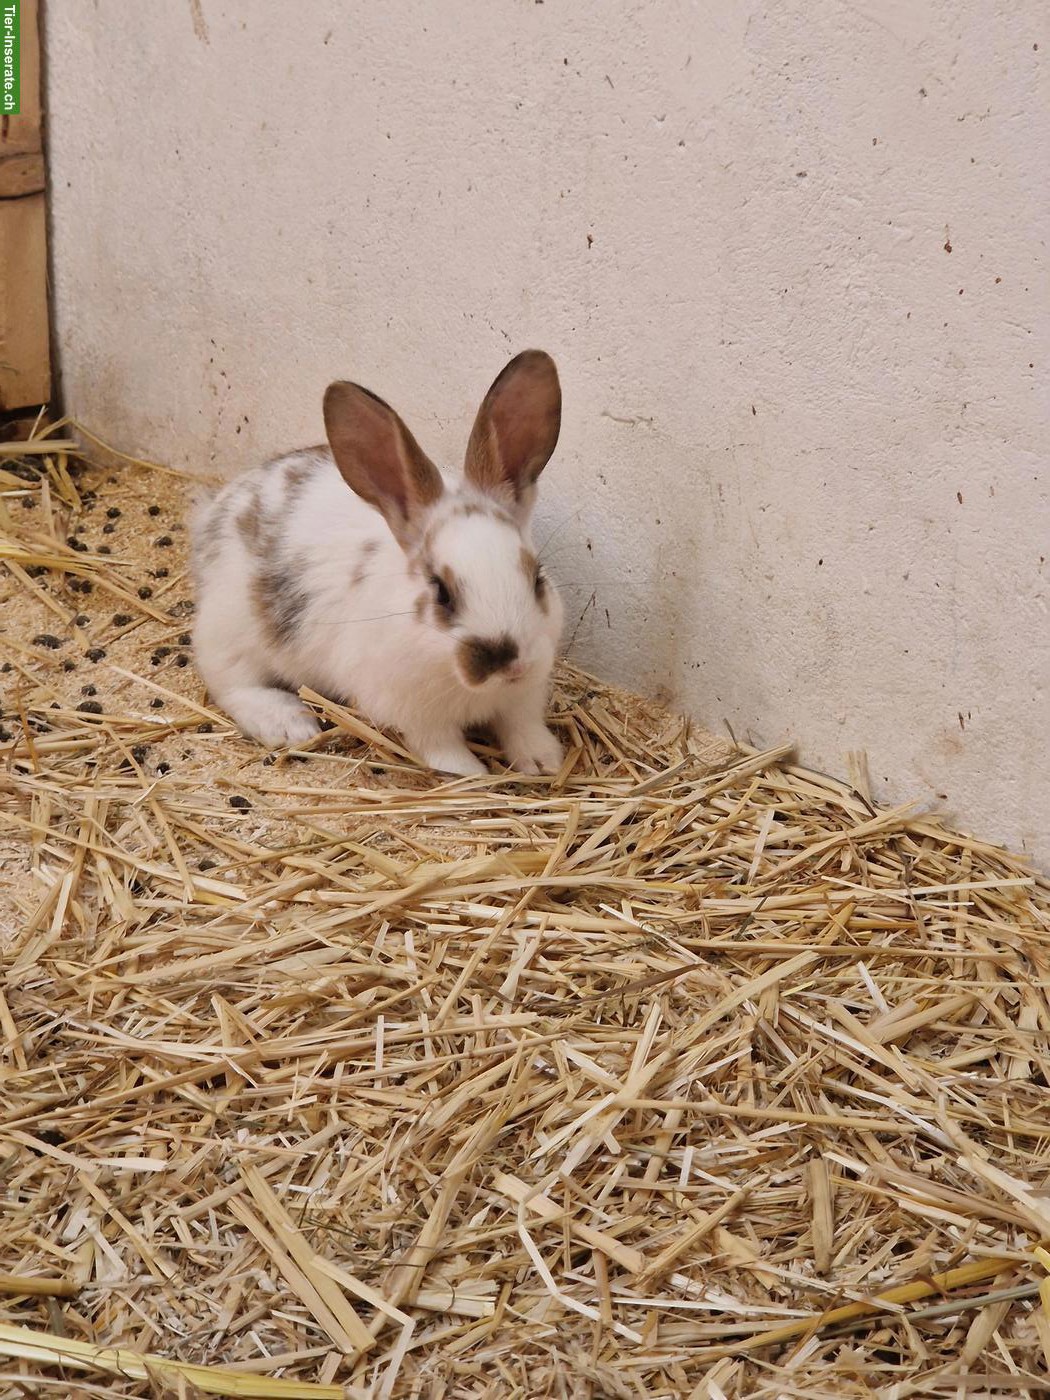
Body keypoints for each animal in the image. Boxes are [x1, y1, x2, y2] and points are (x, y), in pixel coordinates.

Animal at [191, 350, 566, 777]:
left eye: (537, 577)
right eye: (441, 592)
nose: (510, 663)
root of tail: (218, 508)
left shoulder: (524, 696)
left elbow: (522, 725)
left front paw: (545, 762)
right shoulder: (412, 710)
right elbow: (440, 746)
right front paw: (469, 776)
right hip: (231, 631)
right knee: (230, 681)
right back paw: (289, 723)